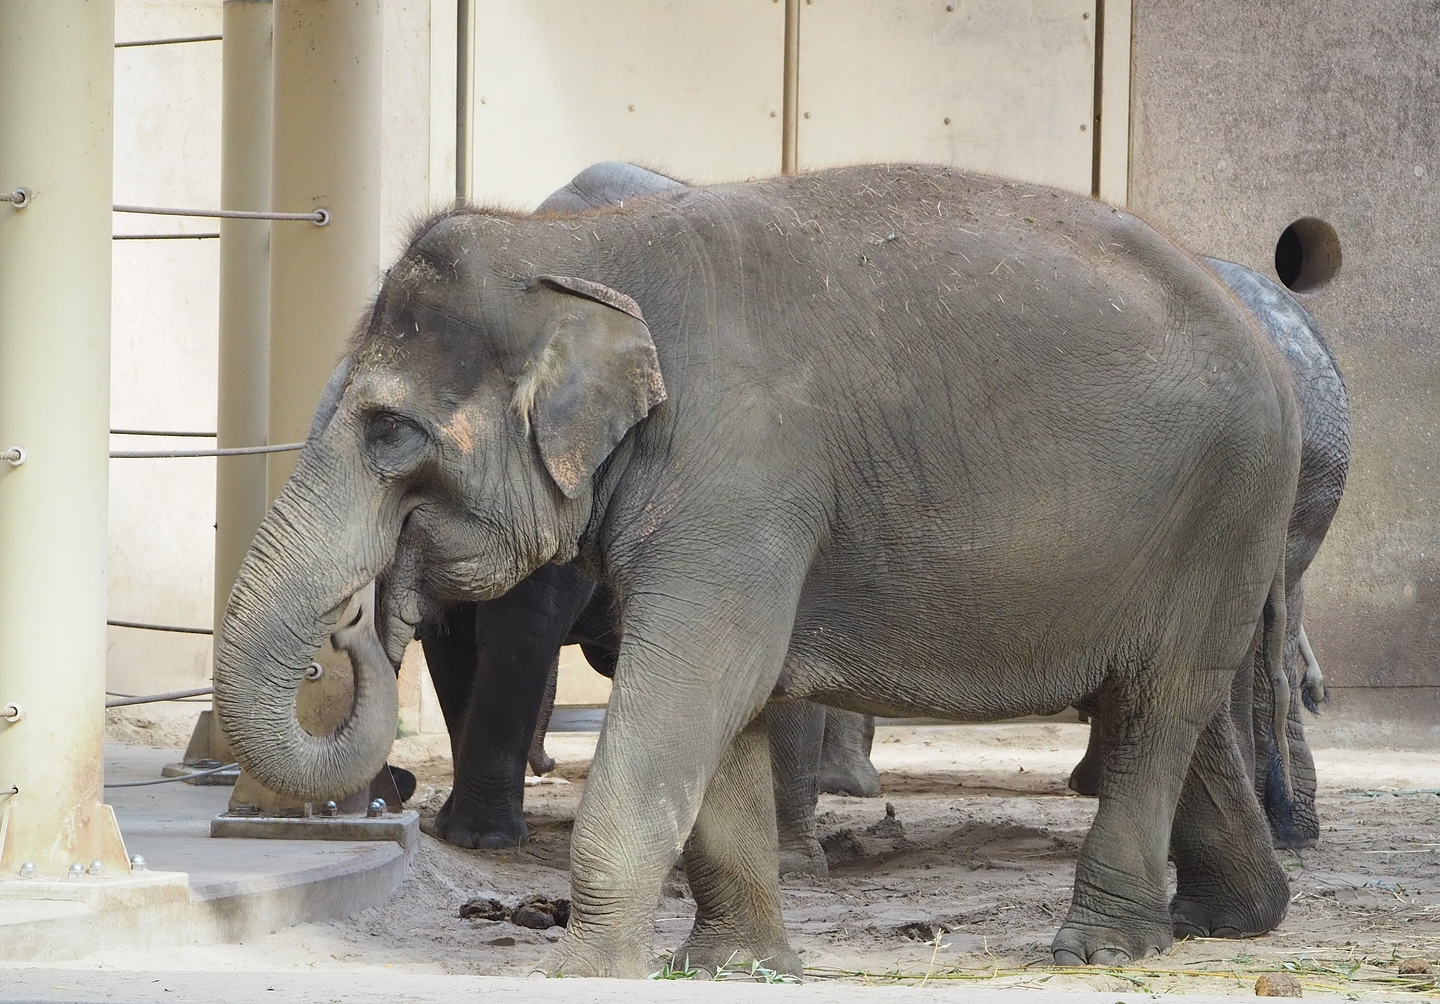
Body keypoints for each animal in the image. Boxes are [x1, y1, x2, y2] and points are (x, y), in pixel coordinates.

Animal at [214, 164, 1303, 976]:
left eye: (388, 431)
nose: (361, 617)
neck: (582, 249)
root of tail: (1269, 331)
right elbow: (727, 707)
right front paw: (734, 966)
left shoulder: (739, 475)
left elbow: (700, 676)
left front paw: (585, 971)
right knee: (1166, 704)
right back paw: (1230, 918)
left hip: (1230, 499)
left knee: (1159, 703)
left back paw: (1100, 947)